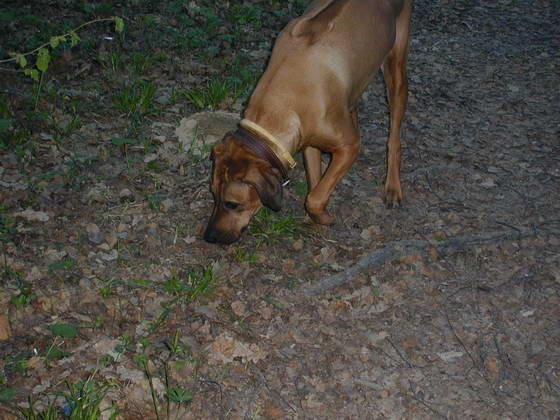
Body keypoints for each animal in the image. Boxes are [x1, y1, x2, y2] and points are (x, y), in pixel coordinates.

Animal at [204, 0, 412, 244]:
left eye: (232, 204)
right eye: (213, 194)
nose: (209, 236)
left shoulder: (349, 146)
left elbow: (314, 198)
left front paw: (324, 218)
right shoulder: (309, 142)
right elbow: (315, 185)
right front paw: (315, 219)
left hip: (396, 67)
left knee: (394, 137)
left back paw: (393, 187)